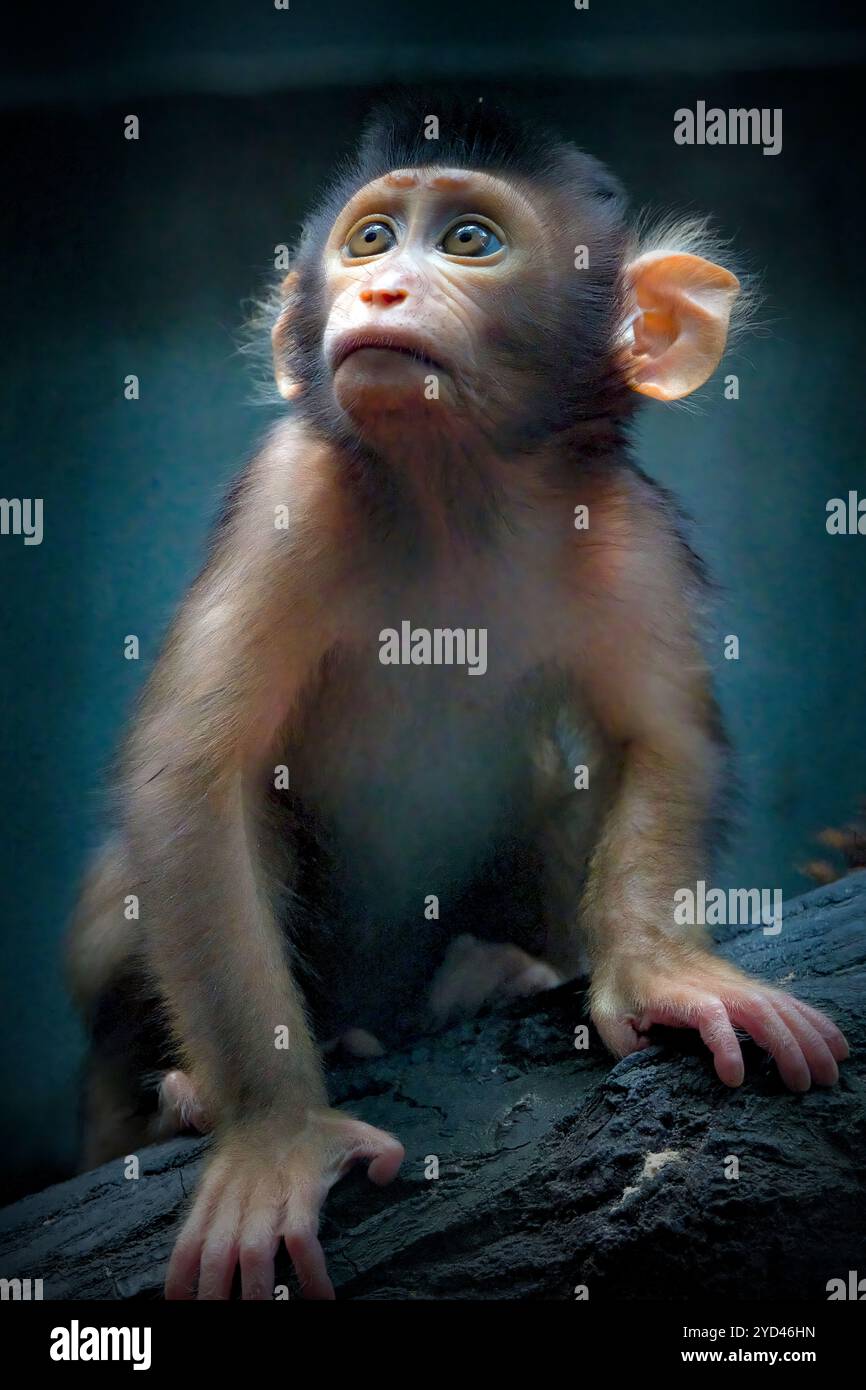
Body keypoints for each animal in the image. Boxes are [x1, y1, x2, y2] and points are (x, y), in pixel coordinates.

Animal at [69, 95, 849, 1301]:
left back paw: (497, 974)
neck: (453, 494)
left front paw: (665, 971)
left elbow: (660, 741)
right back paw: (188, 1093)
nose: (381, 292)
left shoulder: (622, 527)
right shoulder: (291, 495)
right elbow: (192, 782)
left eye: (470, 241)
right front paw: (274, 1134)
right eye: (370, 240)